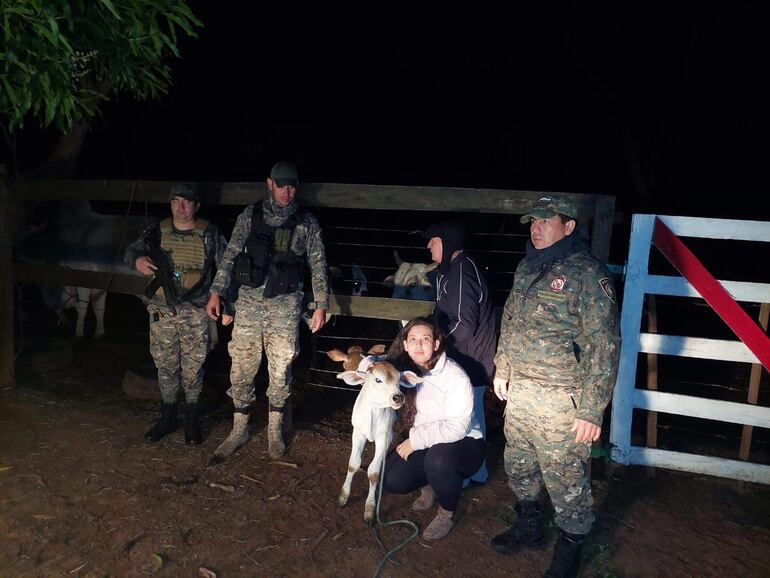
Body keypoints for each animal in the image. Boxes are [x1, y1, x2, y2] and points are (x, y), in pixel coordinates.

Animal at [336, 358, 420, 524]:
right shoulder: (358, 432)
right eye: (378, 380)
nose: (398, 397)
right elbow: (353, 464)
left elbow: (374, 472)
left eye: (399, 380)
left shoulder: (385, 436)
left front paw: (370, 509)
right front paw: (343, 496)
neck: (373, 416)